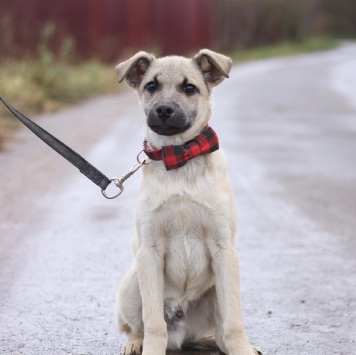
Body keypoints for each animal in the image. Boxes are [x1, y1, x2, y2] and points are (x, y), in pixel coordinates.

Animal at [115, 49, 260, 355]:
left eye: (189, 88)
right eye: (151, 86)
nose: (164, 110)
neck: (179, 157)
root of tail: (180, 331)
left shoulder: (224, 249)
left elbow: (234, 321)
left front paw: (242, 348)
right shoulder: (149, 251)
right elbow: (153, 323)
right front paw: (150, 349)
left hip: (216, 288)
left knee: (221, 332)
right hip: (132, 283)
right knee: (136, 328)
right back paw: (135, 344)